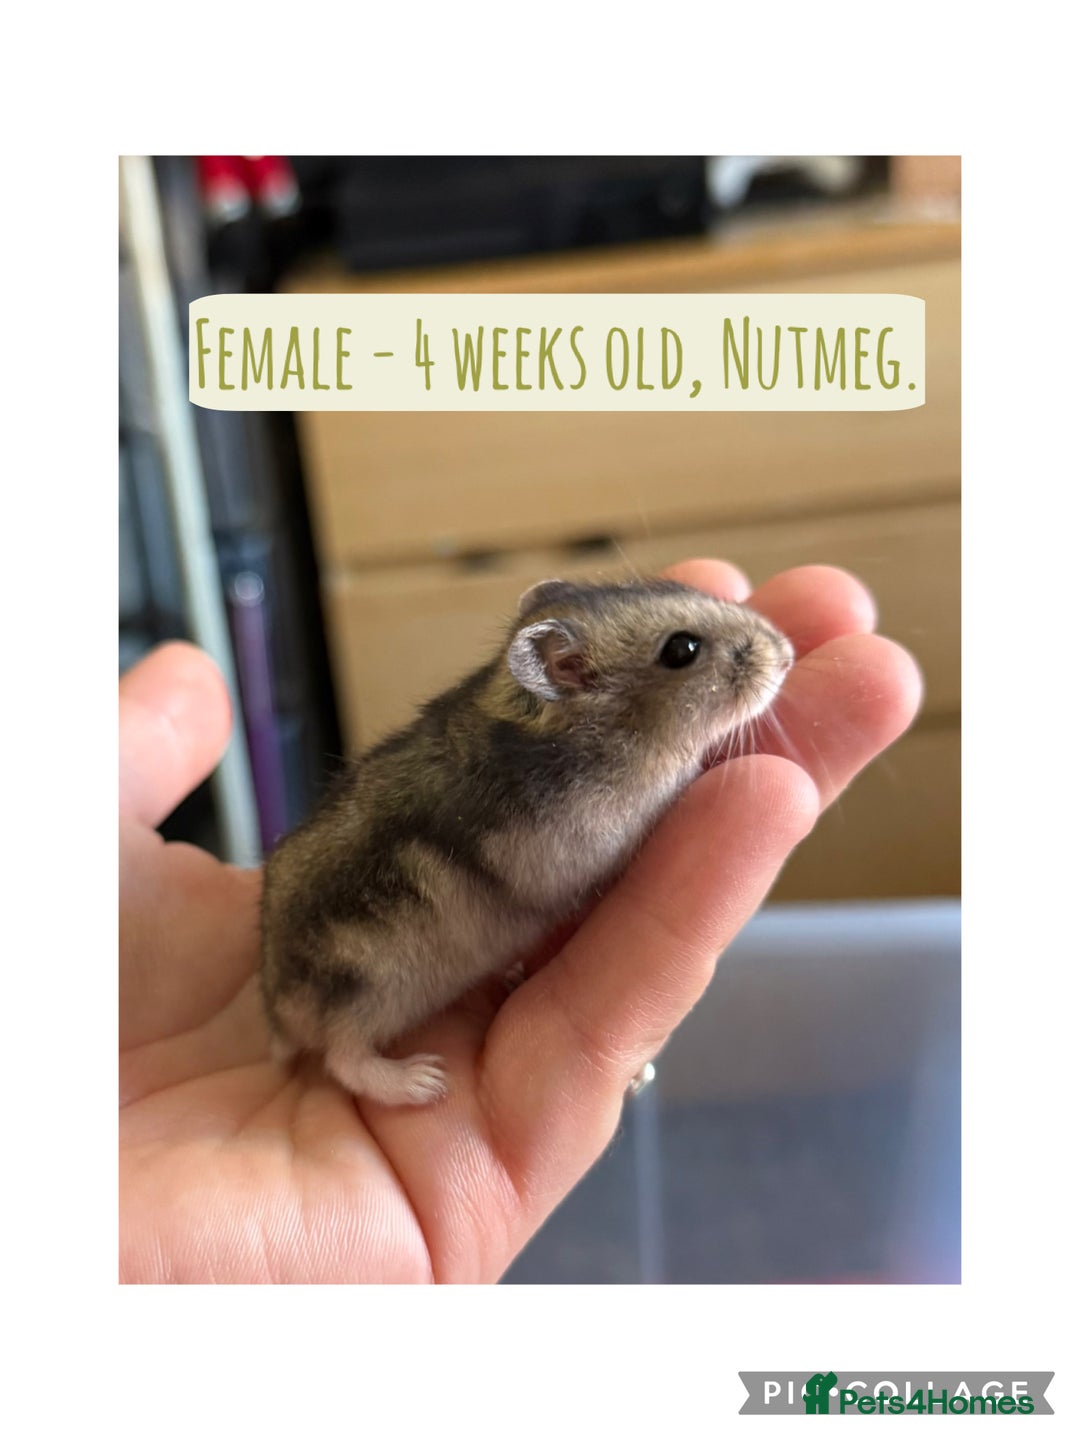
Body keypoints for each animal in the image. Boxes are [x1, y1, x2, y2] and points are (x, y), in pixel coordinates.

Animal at [260, 577, 794, 1106]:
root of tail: (276, 1014)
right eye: (683, 649)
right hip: (368, 990)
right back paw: (424, 1081)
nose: (786, 653)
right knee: (342, 1059)